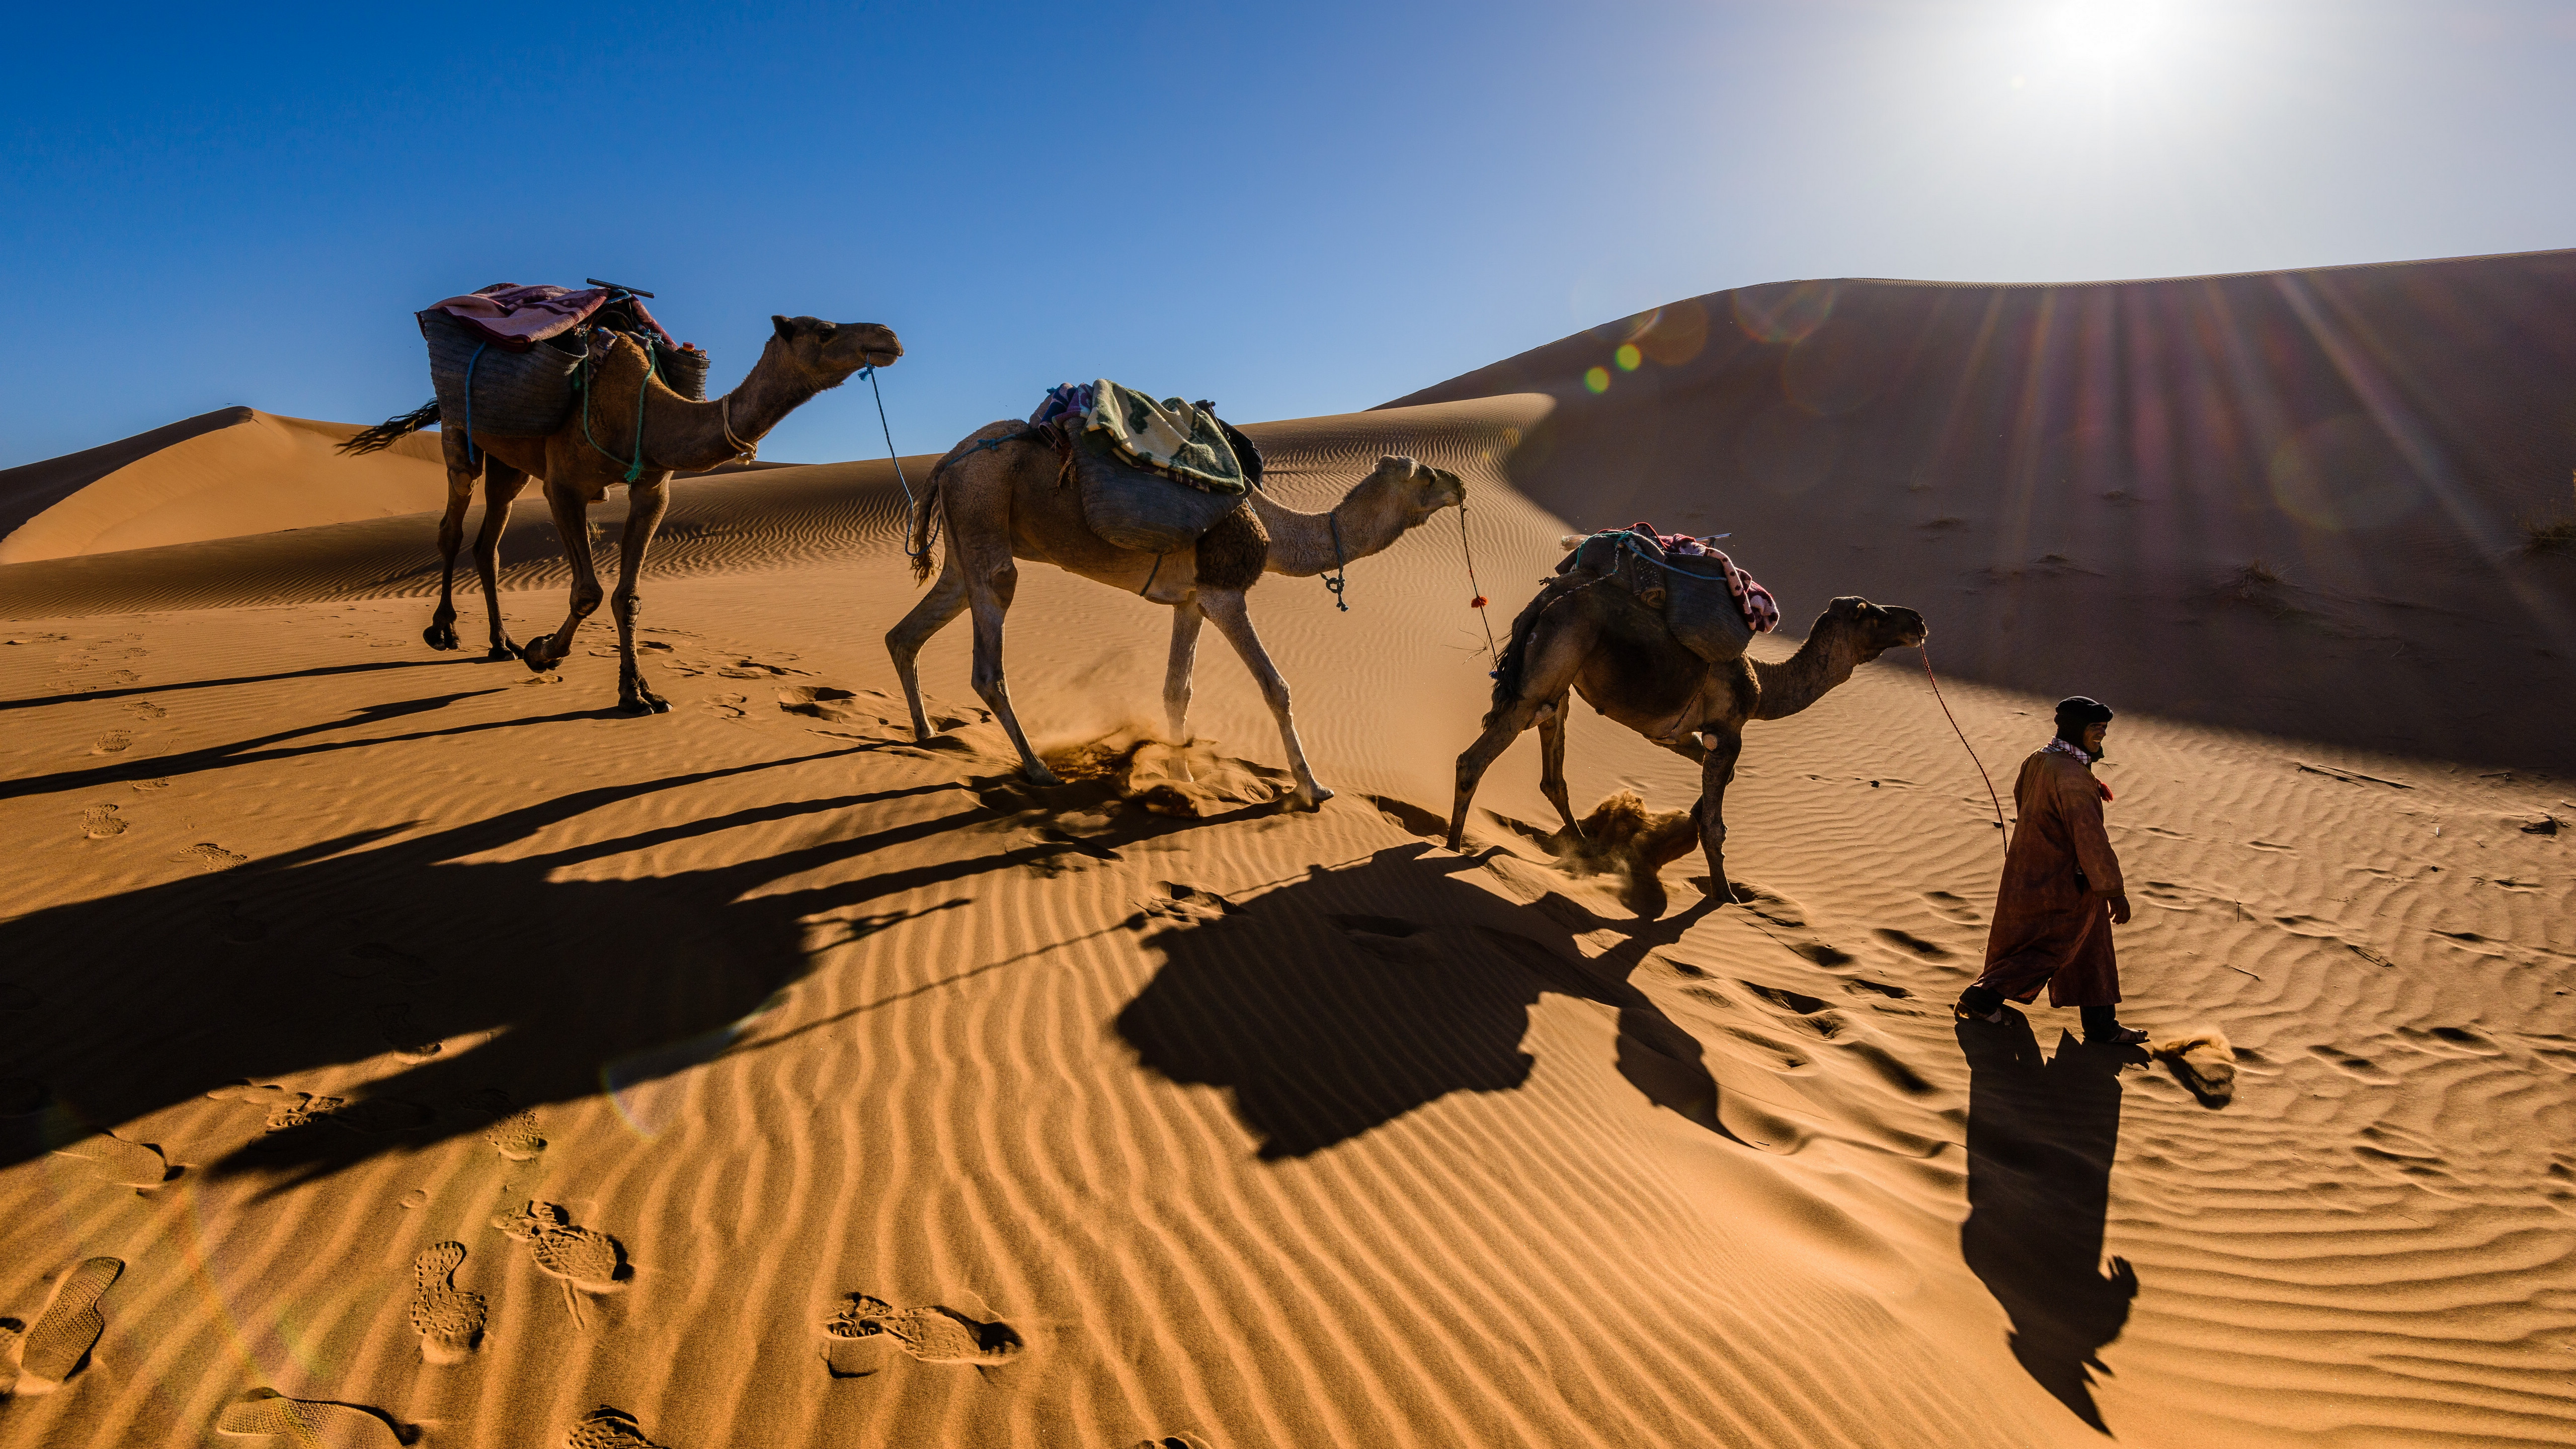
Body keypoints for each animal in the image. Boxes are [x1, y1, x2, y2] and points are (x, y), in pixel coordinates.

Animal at [342, 315, 907, 711]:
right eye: (825, 329)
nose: (888, 336)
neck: (643, 408)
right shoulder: (563, 484)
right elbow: (588, 591)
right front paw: (543, 653)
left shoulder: (652, 488)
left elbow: (627, 596)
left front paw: (637, 693)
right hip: (461, 433)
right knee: (452, 526)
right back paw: (444, 631)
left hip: (511, 462)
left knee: (489, 543)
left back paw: (500, 644)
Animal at [886, 425, 1463, 815]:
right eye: (1425, 473)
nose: (1459, 483)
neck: (1275, 529)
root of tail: (947, 461)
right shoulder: (1224, 591)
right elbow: (1275, 687)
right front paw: (1311, 788)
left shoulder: (1190, 601)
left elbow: (1176, 690)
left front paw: (1181, 774)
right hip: (983, 504)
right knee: (989, 652)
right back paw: (1038, 768)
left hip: (965, 538)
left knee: (909, 630)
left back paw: (927, 733)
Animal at [1442, 567, 1926, 897]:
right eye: (1870, 614)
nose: (1918, 621)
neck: (1763, 688)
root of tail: (1545, 600)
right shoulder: (1729, 733)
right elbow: (1717, 825)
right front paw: (1726, 897)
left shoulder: (1675, 735)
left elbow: (1716, 782)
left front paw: (1683, 828)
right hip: (1547, 668)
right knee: (1476, 759)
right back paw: (1450, 847)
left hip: (1556, 681)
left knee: (1552, 770)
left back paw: (1583, 848)